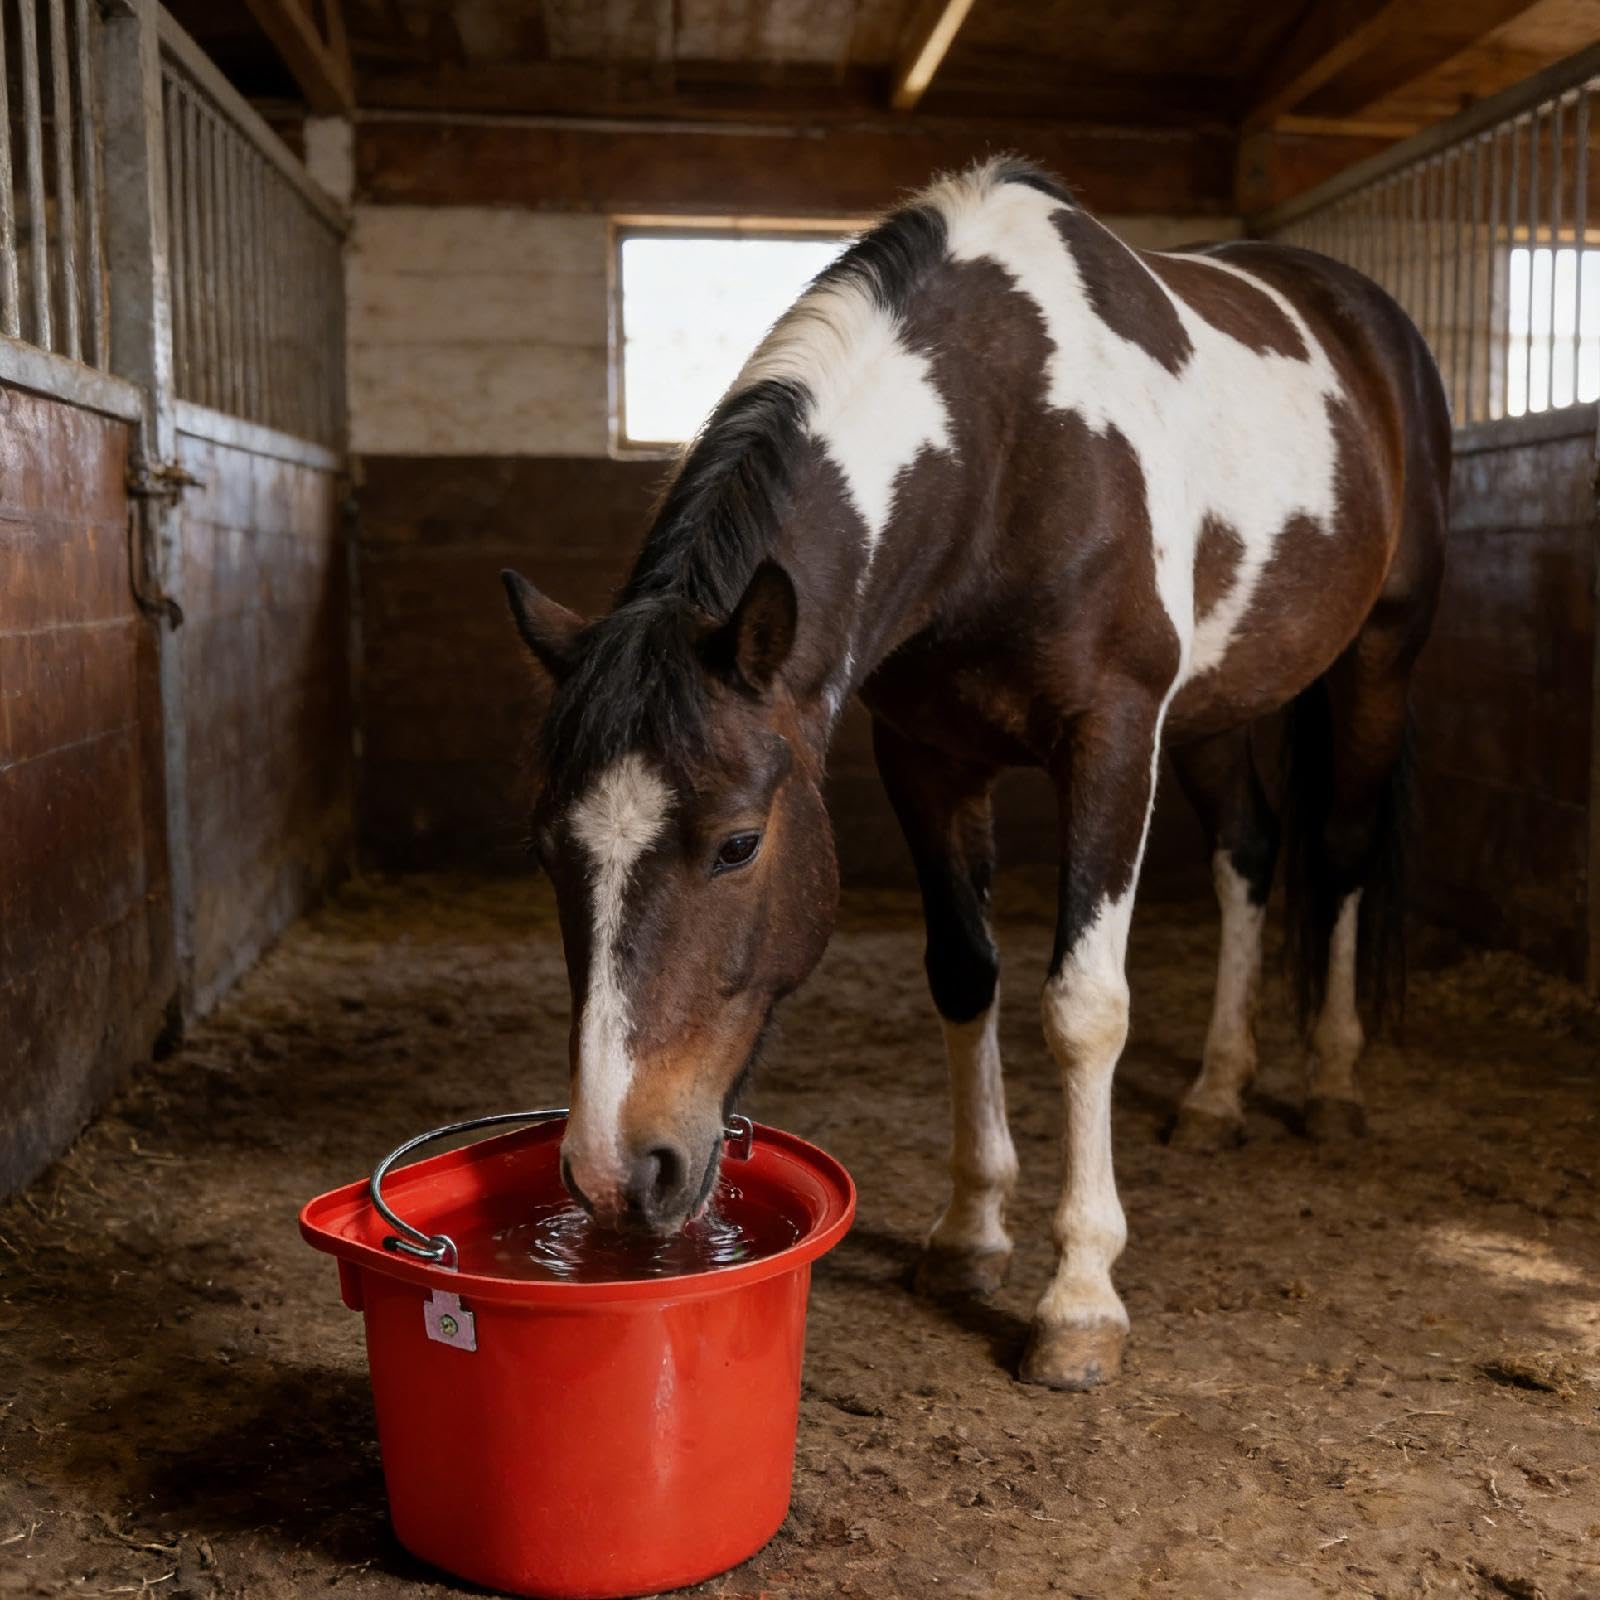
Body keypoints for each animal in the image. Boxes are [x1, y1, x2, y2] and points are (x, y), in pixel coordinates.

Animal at [502, 157, 1449, 1391]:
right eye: (548, 851)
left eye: (739, 843)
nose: (618, 1172)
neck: (1013, 442)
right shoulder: (928, 753)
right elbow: (964, 974)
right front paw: (968, 1238)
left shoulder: (1110, 737)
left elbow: (1084, 1007)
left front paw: (1080, 1297)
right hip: (1213, 707)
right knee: (1249, 851)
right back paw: (1216, 1090)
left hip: (1379, 657)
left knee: (1335, 854)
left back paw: (1331, 1082)